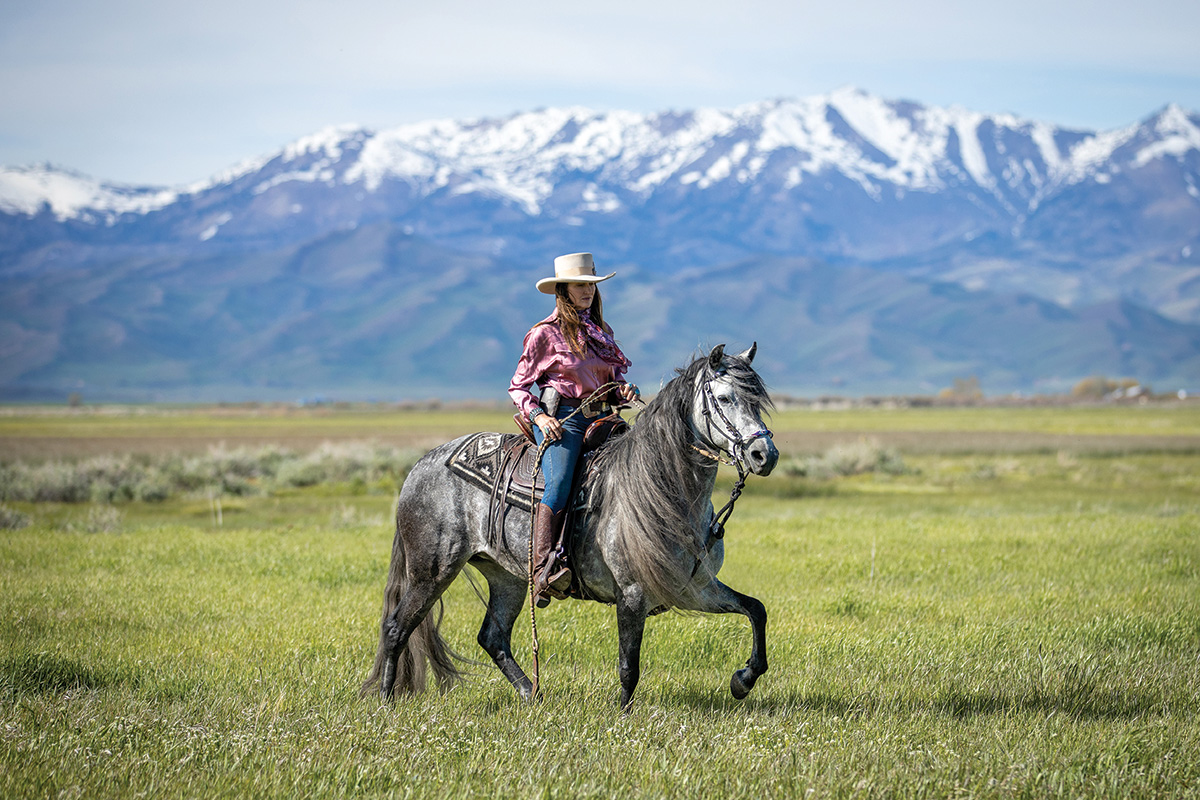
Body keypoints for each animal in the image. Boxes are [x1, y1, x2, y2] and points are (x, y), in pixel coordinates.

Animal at [360, 340, 782, 710]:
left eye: (757, 400)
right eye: (724, 398)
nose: (765, 454)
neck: (660, 491)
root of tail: (421, 465)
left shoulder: (695, 588)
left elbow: (756, 609)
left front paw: (743, 680)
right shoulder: (632, 593)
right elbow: (629, 666)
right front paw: (623, 718)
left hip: (506, 576)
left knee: (493, 637)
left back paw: (533, 696)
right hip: (432, 572)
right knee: (397, 629)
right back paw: (386, 702)